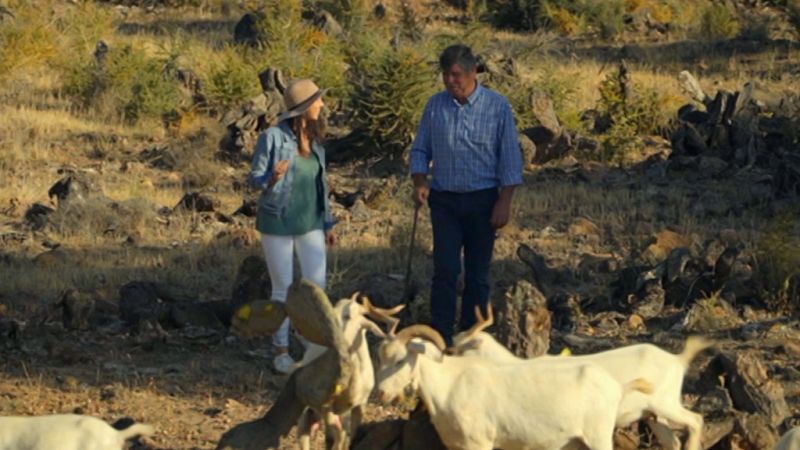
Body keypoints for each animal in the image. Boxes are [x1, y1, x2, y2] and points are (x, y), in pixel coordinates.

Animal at [372, 324, 652, 450]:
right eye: (380, 358)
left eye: (400, 360)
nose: (380, 393)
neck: (448, 384)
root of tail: (617, 386)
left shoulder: (479, 443)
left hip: (598, 436)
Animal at [450, 306, 712, 450]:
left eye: (456, 349)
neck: (511, 365)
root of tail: (678, 359)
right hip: (654, 415)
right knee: (673, 441)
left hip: (664, 403)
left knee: (696, 420)